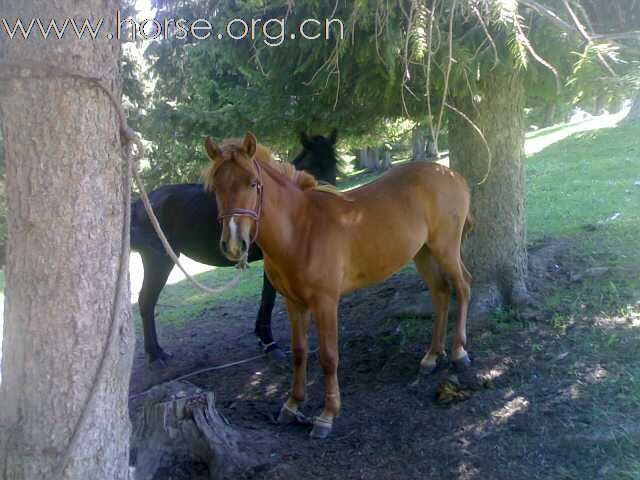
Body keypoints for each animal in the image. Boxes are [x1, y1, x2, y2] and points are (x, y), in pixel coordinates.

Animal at [202, 131, 472, 438]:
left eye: (252, 183)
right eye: (215, 188)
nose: (234, 244)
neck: (301, 230)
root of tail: (452, 175)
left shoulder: (325, 303)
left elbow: (329, 357)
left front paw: (327, 415)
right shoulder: (293, 304)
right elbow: (299, 353)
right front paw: (292, 404)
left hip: (445, 249)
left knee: (463, 288)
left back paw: (459, 351)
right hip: (423, 253)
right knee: (441, 294)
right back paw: (431, 357)